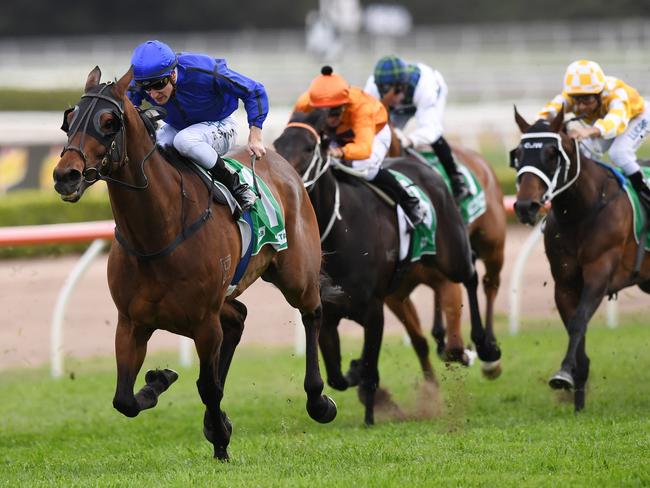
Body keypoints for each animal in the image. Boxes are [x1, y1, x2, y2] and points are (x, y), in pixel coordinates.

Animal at [52, 66, 334, 460]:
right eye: (69, 119)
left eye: (109, 122)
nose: (66, 175)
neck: (157, 235)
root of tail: (281, 162)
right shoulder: (131, 322)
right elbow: (124, 399)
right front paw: (159, 380)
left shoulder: (203, 322)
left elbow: (208, 386)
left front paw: (221, 443)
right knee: (239, 318)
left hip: (296, 274)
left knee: (312, 313)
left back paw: (318, 400)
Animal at [384, 135, 506, 376]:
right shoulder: (394, 296)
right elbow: (420, 340)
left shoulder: (448, 277)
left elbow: (455, 345)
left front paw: (472, 351)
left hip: (493, 246)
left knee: (490, 284)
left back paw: (489, 351)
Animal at [512, 107, 648, 412]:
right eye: (517, 154)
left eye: (552, 153)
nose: (526, 206)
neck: (581, 211)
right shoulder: (564, 284)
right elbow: (577, 326)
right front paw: (577, 402)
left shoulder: (599, 273)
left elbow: (578, 322)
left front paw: (563, 374)